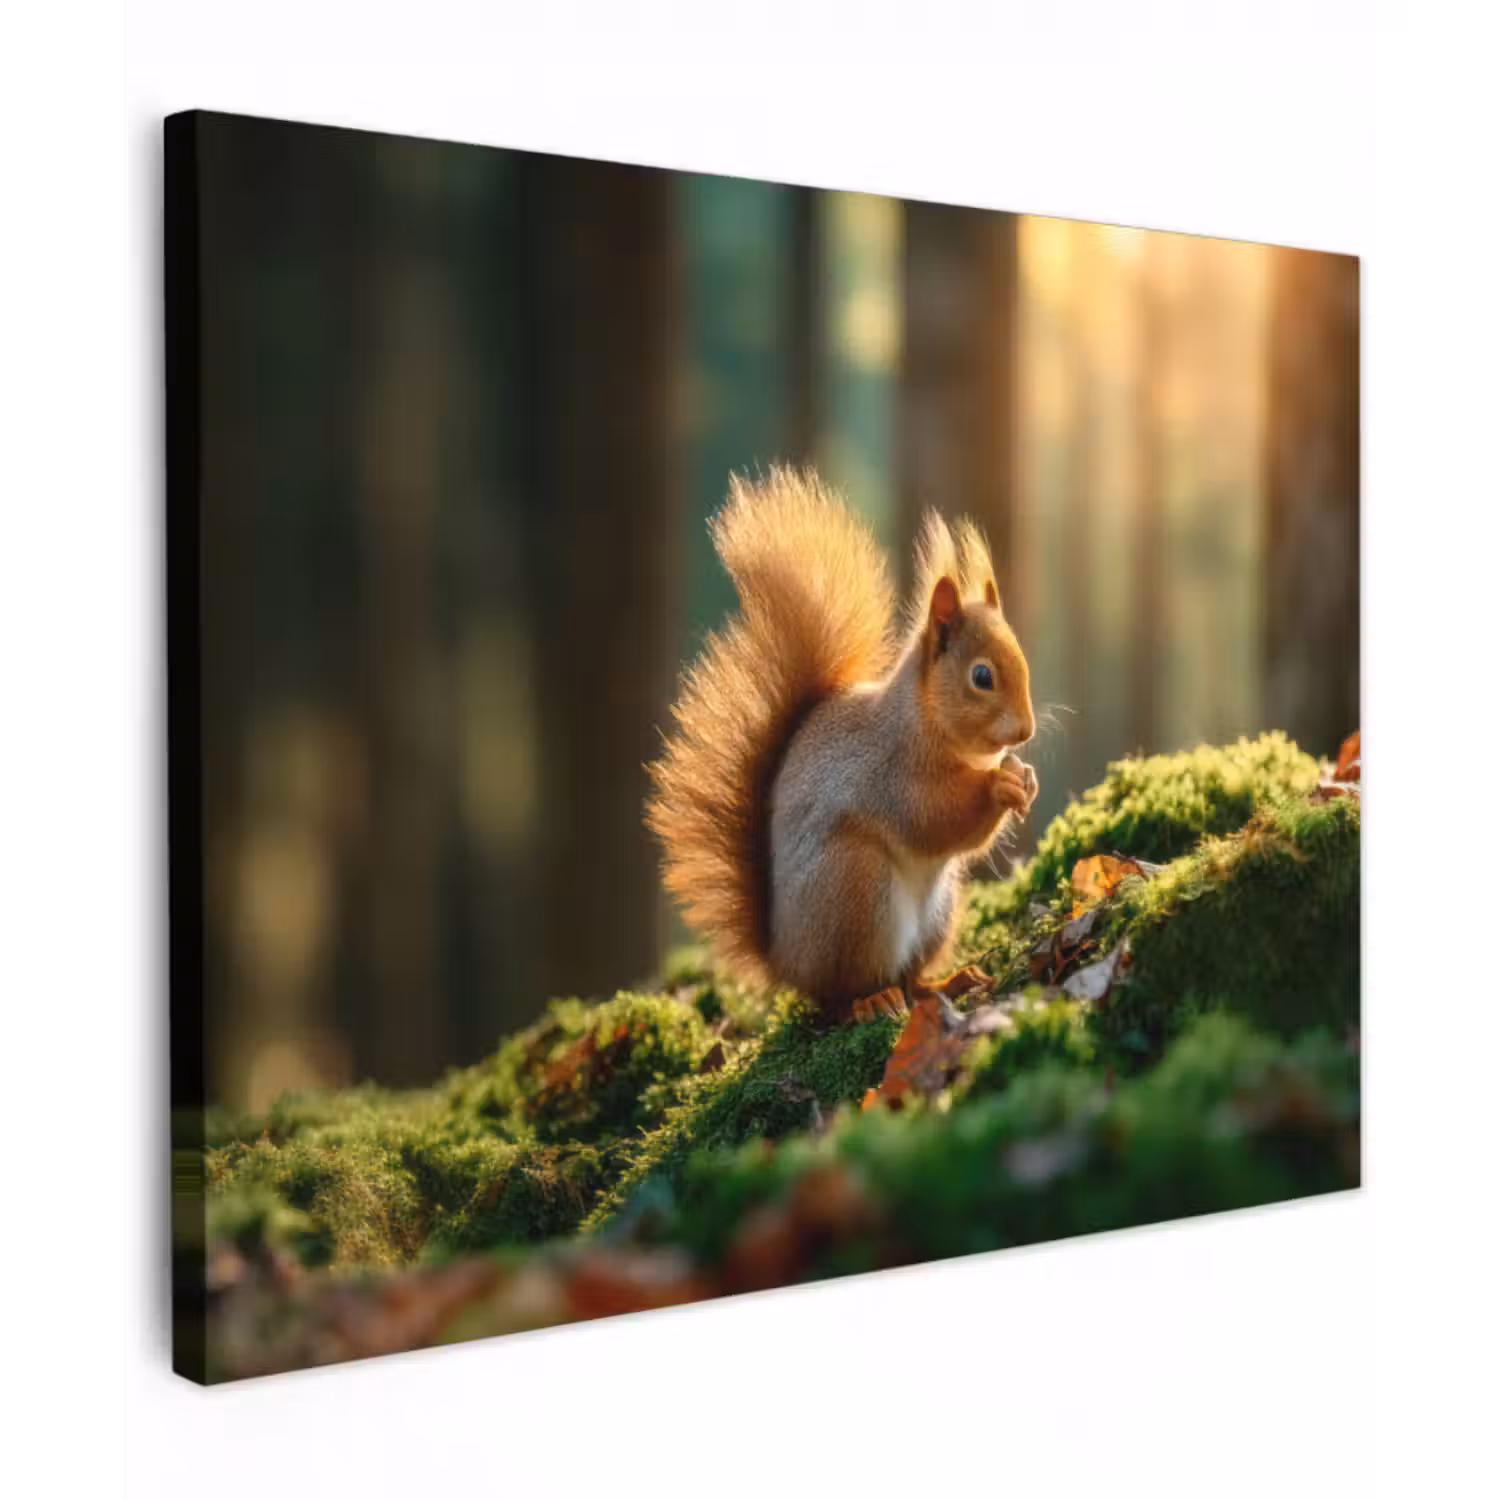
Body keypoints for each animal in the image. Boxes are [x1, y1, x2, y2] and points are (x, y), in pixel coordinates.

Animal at [647, 466, 1038, 1025]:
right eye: (981, 676)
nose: (1026, 732)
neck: (924, 721)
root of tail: (786, 962)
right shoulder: (893, 773)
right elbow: (936, 819)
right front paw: (999, 786)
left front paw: (1025, 778)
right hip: (856, 887)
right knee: (843, 994)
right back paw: (871, 1001)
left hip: (936, 913)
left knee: (911, 979)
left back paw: (946, 981)